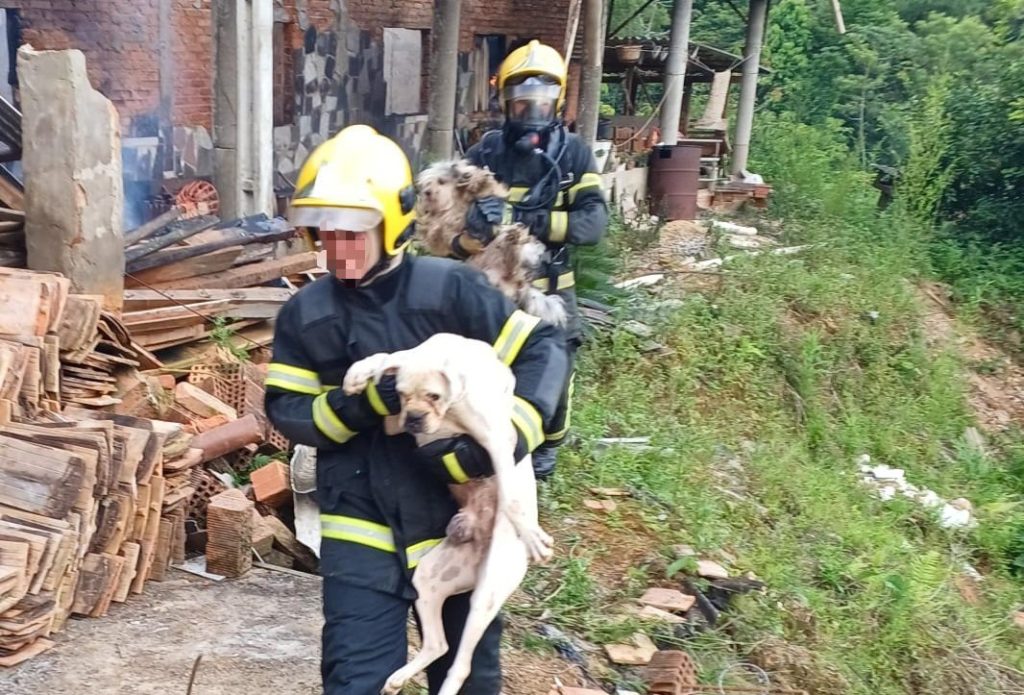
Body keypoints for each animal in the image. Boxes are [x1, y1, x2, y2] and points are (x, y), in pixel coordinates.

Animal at [342, 333, 552, 695]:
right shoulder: (394, 423)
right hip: (427, 579)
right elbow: (386, 357)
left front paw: (531, 532)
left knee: (462, 665)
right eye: (400, 394)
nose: (414, 417)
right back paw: (397, 679)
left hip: (484, 598)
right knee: (438, 645)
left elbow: (512, 498)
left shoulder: (498, 441)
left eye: (433, 395)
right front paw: (358, 374)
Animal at [415, 160, 569, 329]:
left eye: (441, 181)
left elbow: (487, 189)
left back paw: (513, 239)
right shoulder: (440, 227)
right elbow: (437, 230)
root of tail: (518, 284)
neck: (453, 202)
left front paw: (475, 178)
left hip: (516, 248)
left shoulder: (484, 197)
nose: (427, 192)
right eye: (426, 184)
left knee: (515, 255)